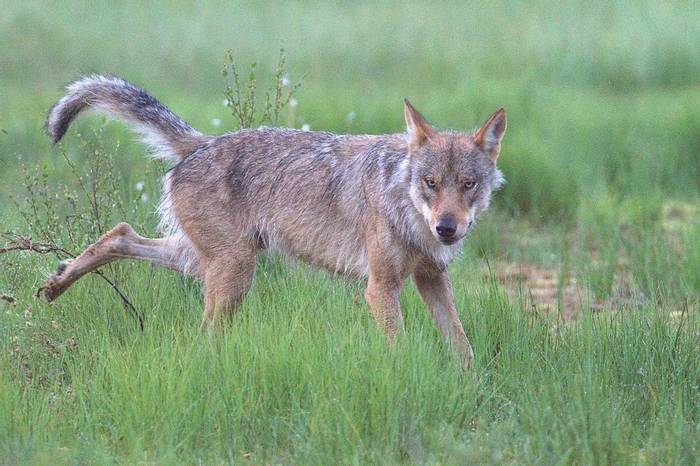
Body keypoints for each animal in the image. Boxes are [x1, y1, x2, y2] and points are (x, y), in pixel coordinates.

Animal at [42, 74, 504, 370]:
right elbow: (401, 348)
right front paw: (404, 382)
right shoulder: (381, 287)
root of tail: (202, 143)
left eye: (468, 184)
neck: (404, 203)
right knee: (203, 336)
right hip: (233, 273)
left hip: (202, 262)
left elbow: (463, 346)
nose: (447, 228)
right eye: (431, 183)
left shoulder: (432, 277)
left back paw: (57, 281)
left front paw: (471, 387)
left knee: (119, 234)